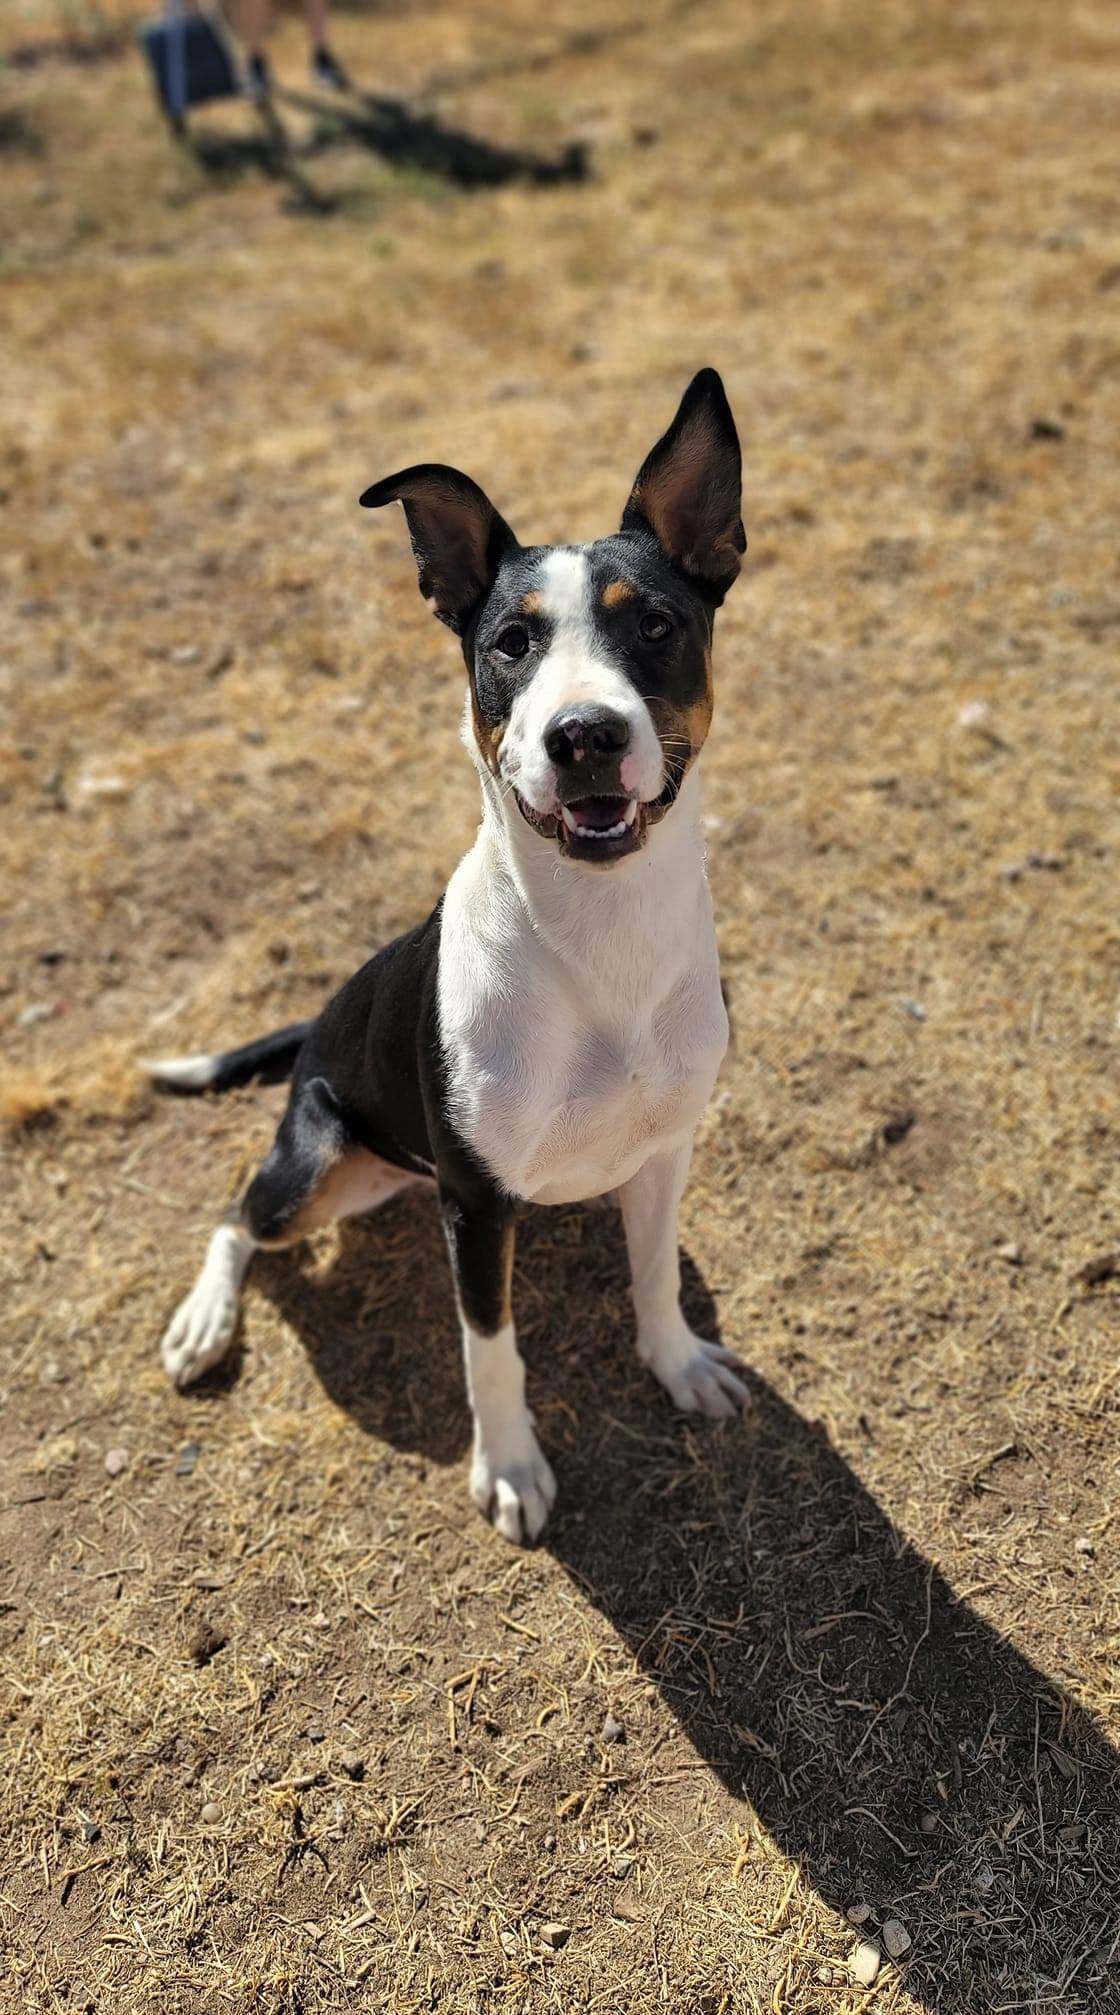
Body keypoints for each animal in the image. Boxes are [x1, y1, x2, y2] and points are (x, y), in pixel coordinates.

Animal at [155, 370, 753, 1539]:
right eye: (510, 643)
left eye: (657, 624)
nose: (583, 735)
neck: (600, 937)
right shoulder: (473, 1208)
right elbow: (491, 1351)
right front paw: (512, 1466)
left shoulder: (666, 1149)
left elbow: (656, 1274)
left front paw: (674, 1363)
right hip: (319, 1165)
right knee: (239, 1215)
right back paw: (204, 1320)